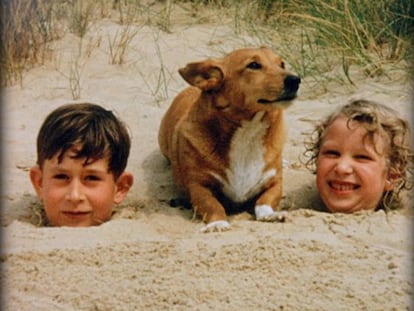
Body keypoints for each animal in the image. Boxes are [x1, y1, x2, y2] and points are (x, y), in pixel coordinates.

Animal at [158, 45, 300, 232]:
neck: (249, 130)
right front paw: (218, 223)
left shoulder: (275, 183)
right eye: (254, 65)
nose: (296, 80)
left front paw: (270, 215)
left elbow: (265, 200)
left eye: (282, 64)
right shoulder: (198, 186)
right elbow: (212, 205)